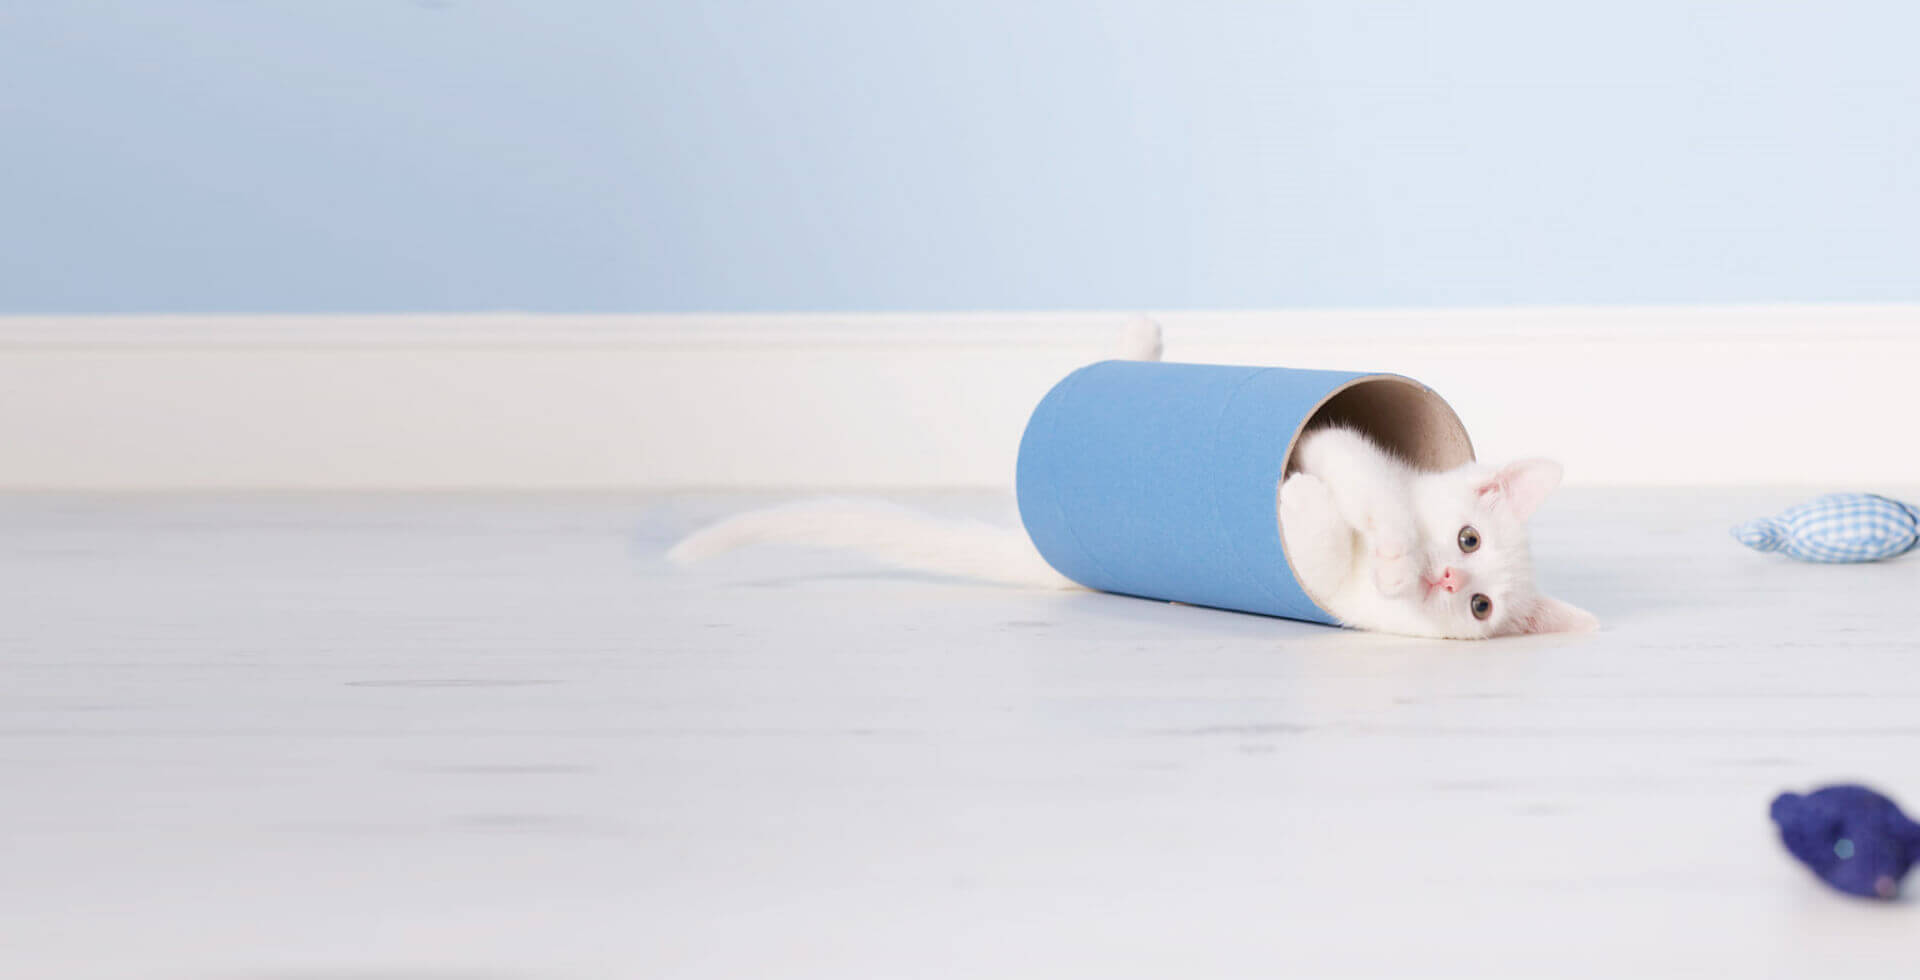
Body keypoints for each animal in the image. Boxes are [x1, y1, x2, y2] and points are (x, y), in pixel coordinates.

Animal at [1282, 424, 1597, 637]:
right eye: (1469, 539)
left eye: (1481, 605)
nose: (1450, 578)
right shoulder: (1332, 443)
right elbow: (1372, 484)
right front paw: (1396, 555)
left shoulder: (1338, 603)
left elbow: (1321, 570)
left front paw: (1301, 497)